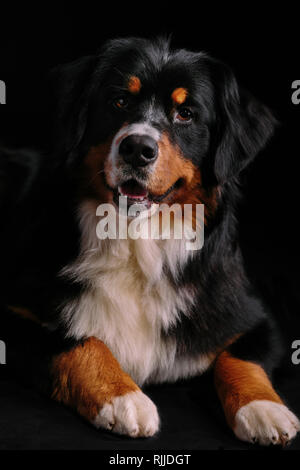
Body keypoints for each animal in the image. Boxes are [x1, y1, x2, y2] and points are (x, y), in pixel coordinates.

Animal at [0, 35, 300, 444]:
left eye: (186, 113)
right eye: (119, 101)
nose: (137, 149)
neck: (136, 243)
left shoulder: (254, 316)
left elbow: (241, 357)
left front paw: (264, 407)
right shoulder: (15, 312)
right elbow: (77, 341)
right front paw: (124, 398)